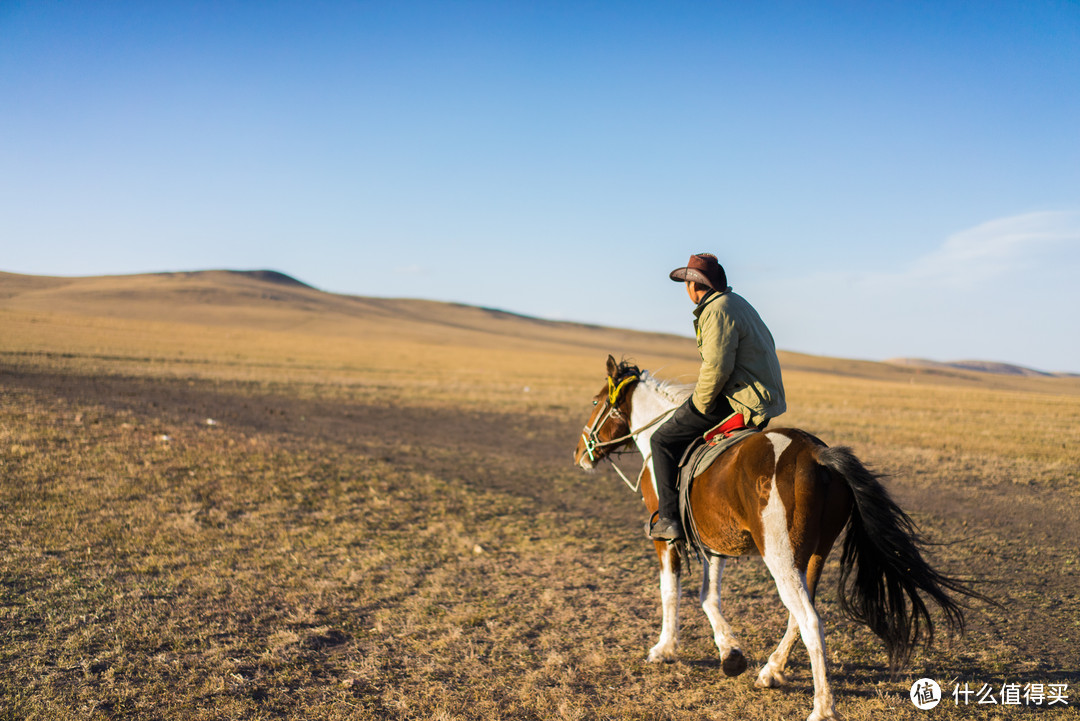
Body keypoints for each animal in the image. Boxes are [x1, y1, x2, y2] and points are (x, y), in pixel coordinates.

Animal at [574, 356, 989, 721]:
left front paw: (664, 649)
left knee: (809, 620)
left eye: (595, 401)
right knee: (800, 613)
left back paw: (822, 708)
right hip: (813, 554)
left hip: (779, 556)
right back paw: (771, 671)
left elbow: (671, 591)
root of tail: (818, 454)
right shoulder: (714, 543)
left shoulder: (666, 538)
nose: (580, 452)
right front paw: (730, 654)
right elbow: (709, 596)